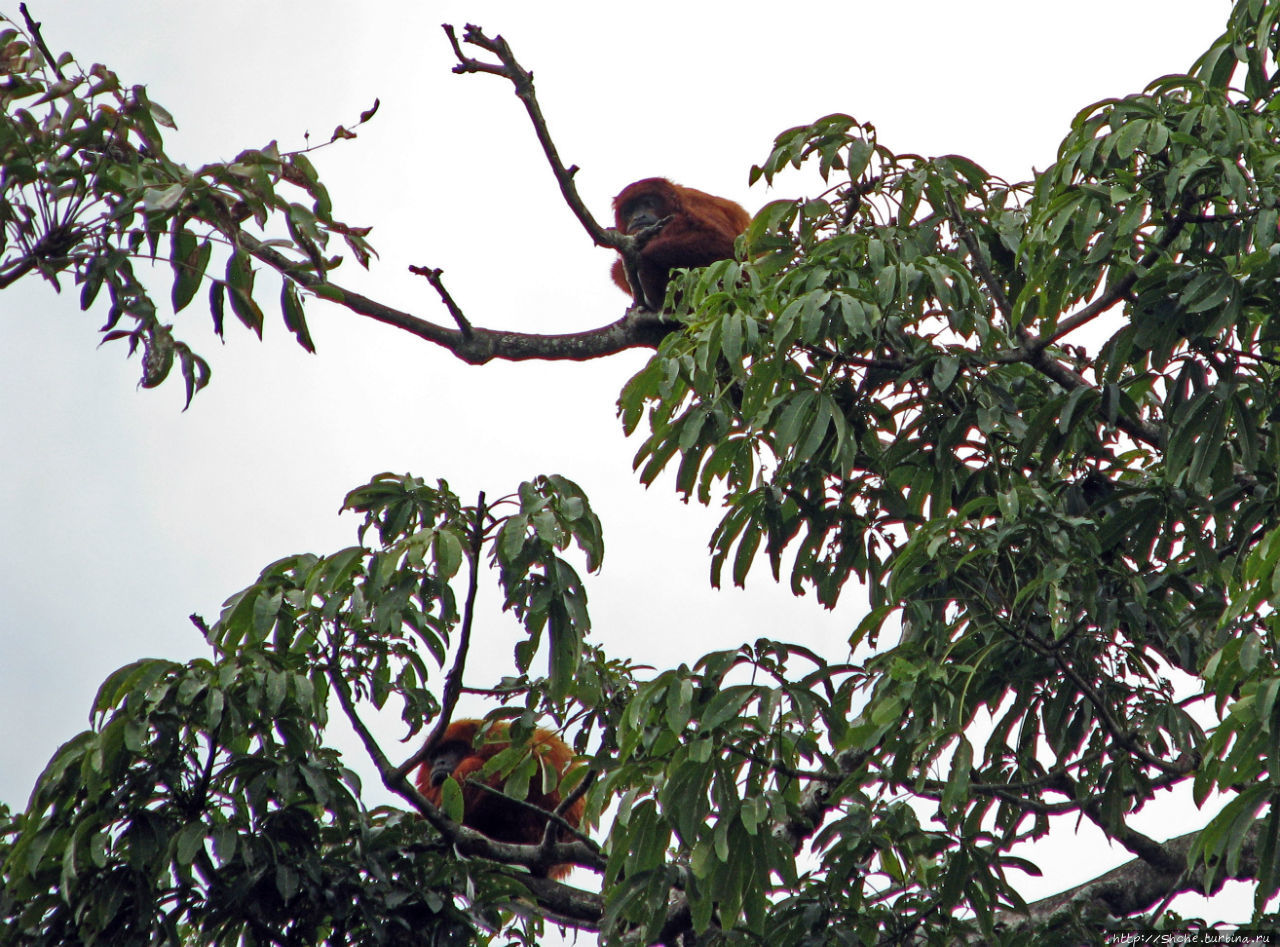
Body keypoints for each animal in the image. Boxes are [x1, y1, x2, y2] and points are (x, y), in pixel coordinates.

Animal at [609, 177, 747, 310]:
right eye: (628, 211)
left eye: (649, 203)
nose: (638, 217)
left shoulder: (697, 206)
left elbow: (723, 245)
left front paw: (643, 260)